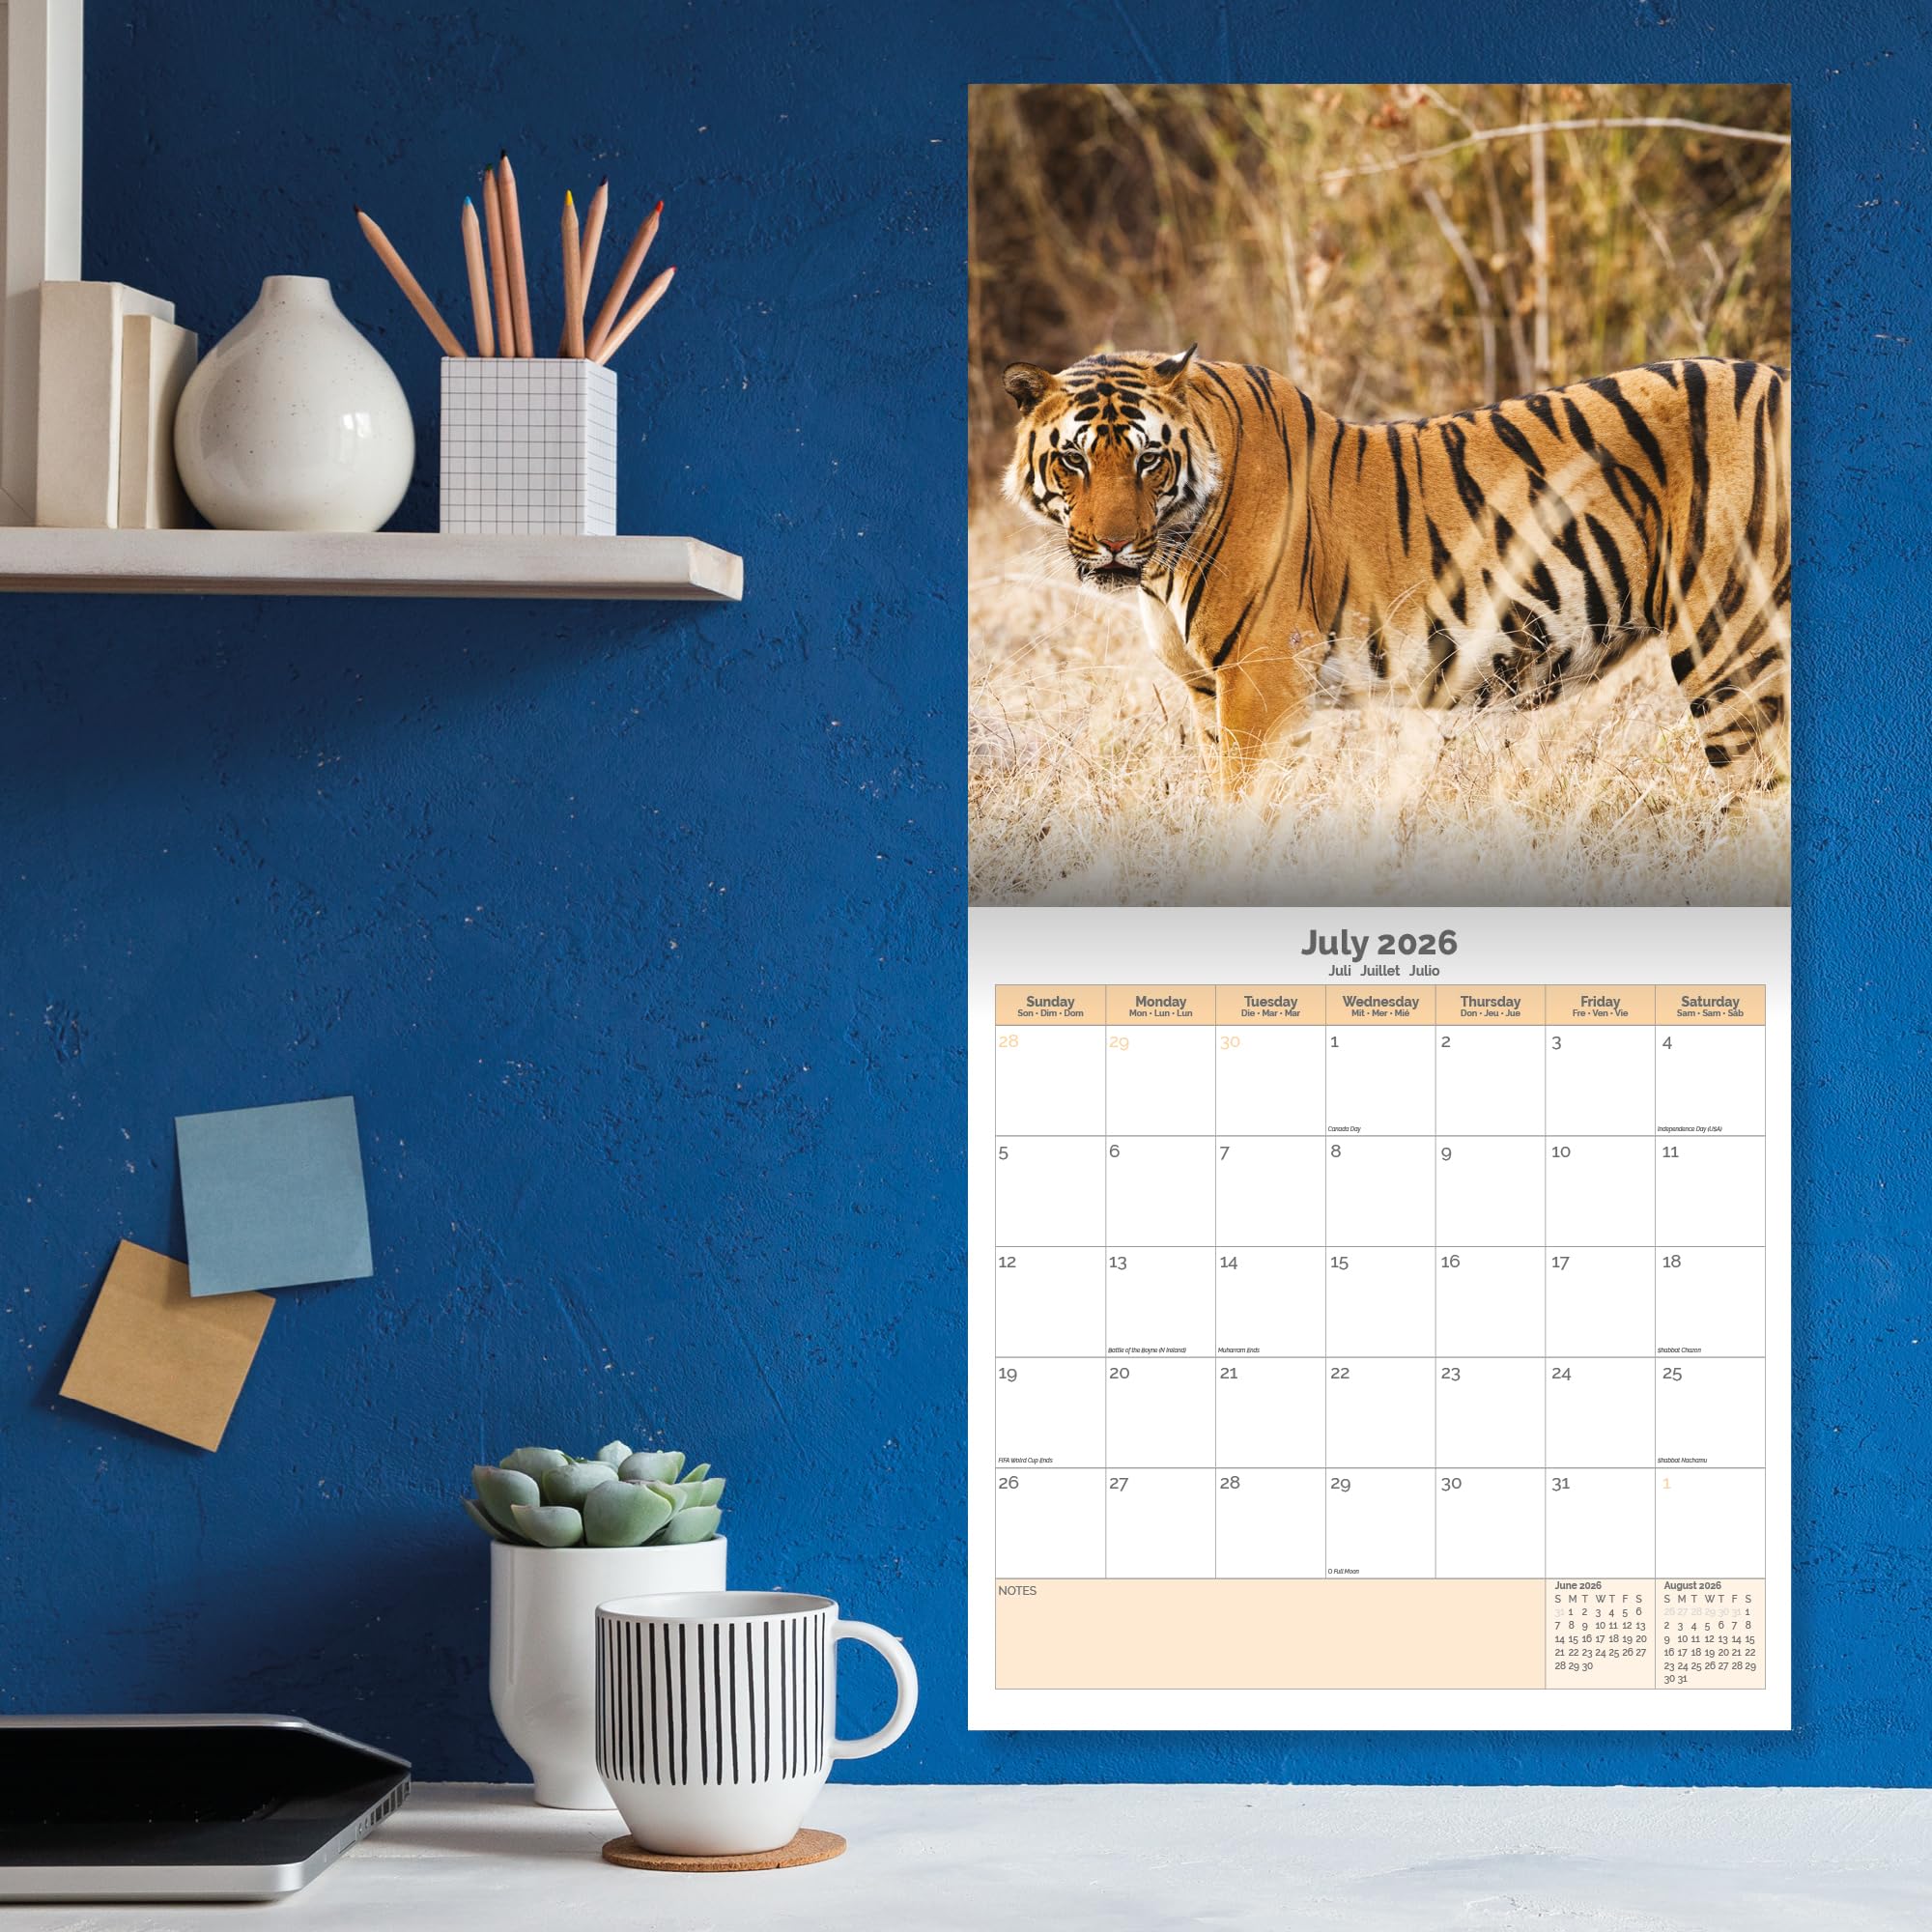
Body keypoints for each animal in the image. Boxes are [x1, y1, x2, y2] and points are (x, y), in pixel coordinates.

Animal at [1001, 346, 1790, 793]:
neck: (1163, 560)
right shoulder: (1208, 693)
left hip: (1729, 643)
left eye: (1148, 459)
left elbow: (1241, 806)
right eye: (1072, 460)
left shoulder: (1261, 683)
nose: (1112, 545)